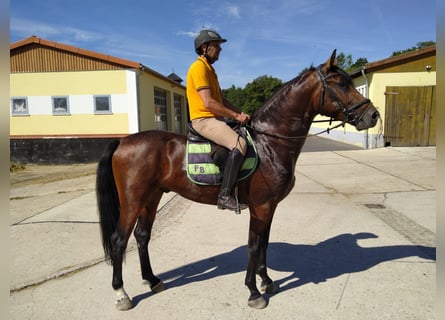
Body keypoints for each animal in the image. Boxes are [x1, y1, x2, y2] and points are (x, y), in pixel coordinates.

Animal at [96, 50, 378, 310]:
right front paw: (254, 292)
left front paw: (267, 282)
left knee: (142, 236)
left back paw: (153, 280)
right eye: (340, 83)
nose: (373, 115)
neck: (269, 143)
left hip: (152, 198)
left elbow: (264, 244)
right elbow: (253, 246)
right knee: (119, 241)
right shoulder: (261, 206)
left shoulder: (269, 207)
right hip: (133, 201)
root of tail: (123, 141)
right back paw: (122, 294)